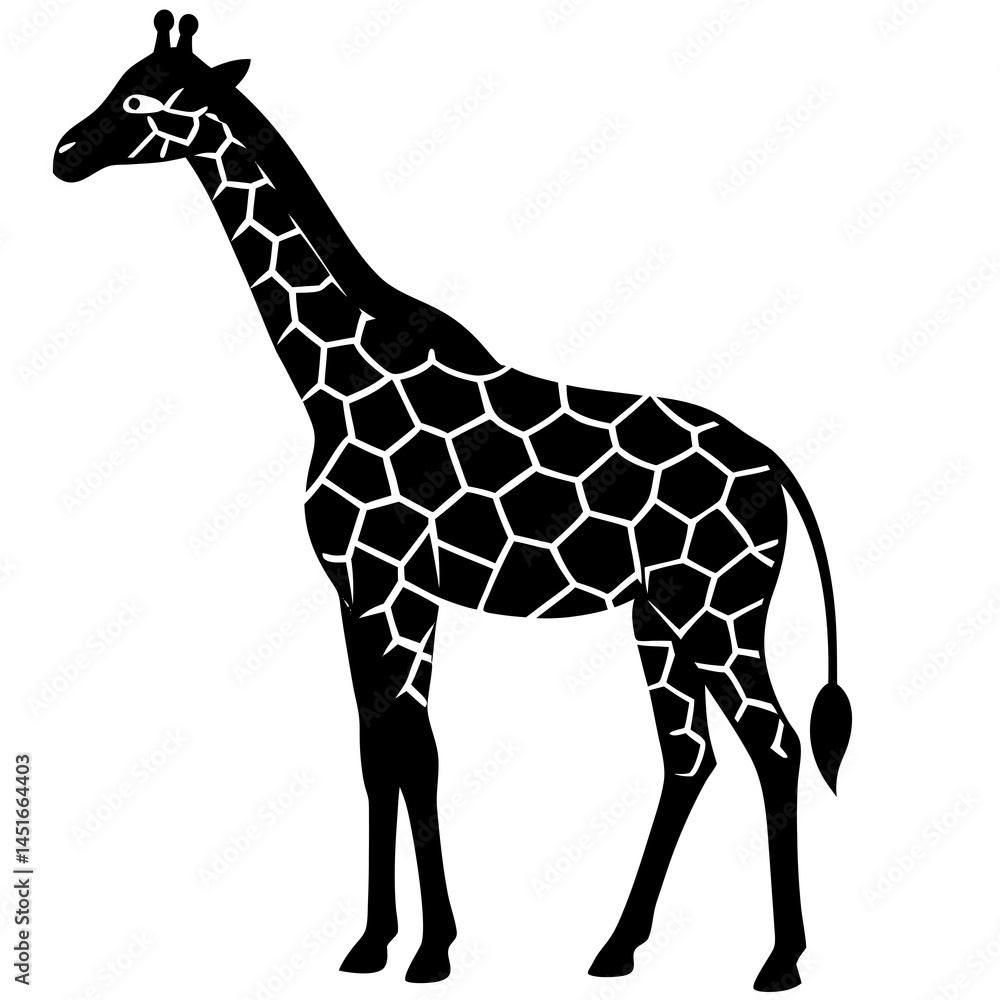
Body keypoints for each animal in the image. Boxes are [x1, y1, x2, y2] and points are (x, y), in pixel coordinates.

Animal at [54, 12, 853, 991]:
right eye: (117, 81)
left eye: (140, 99)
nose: (62, 153)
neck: (337, 382)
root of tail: (776, 466)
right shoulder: (360, 592)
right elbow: (379, 754)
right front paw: (371, 943)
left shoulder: (397, 587)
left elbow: (417, 751)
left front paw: (430, 951)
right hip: (658, 615)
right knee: (689, 756)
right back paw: (618, 947)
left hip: (719, 611)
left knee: (774, 745)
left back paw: (779, 960)